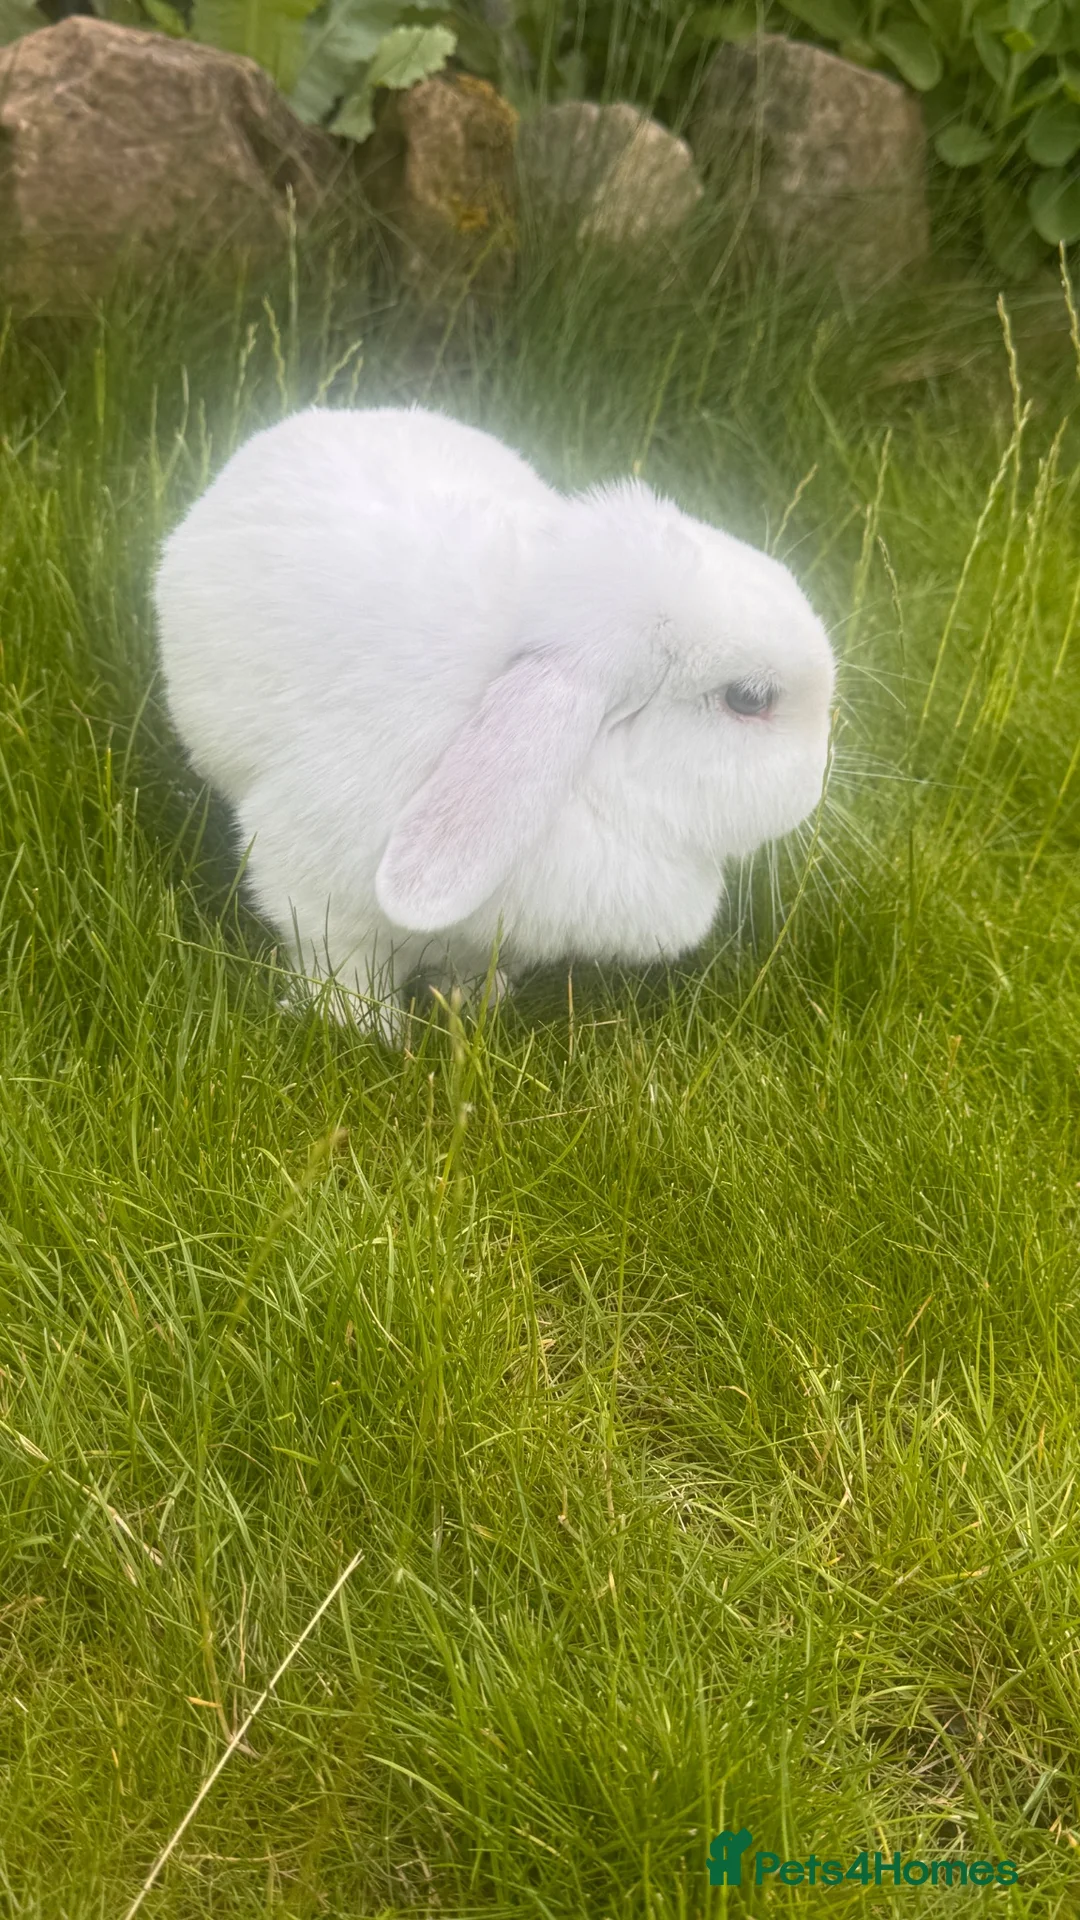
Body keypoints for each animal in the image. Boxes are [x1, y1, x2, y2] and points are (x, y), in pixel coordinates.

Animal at [154, 404, 835, 1036]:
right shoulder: (318, 897)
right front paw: (364, 1028)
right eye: (749, 698)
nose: (816, 786)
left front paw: (471, 1001)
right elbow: (343, 966)